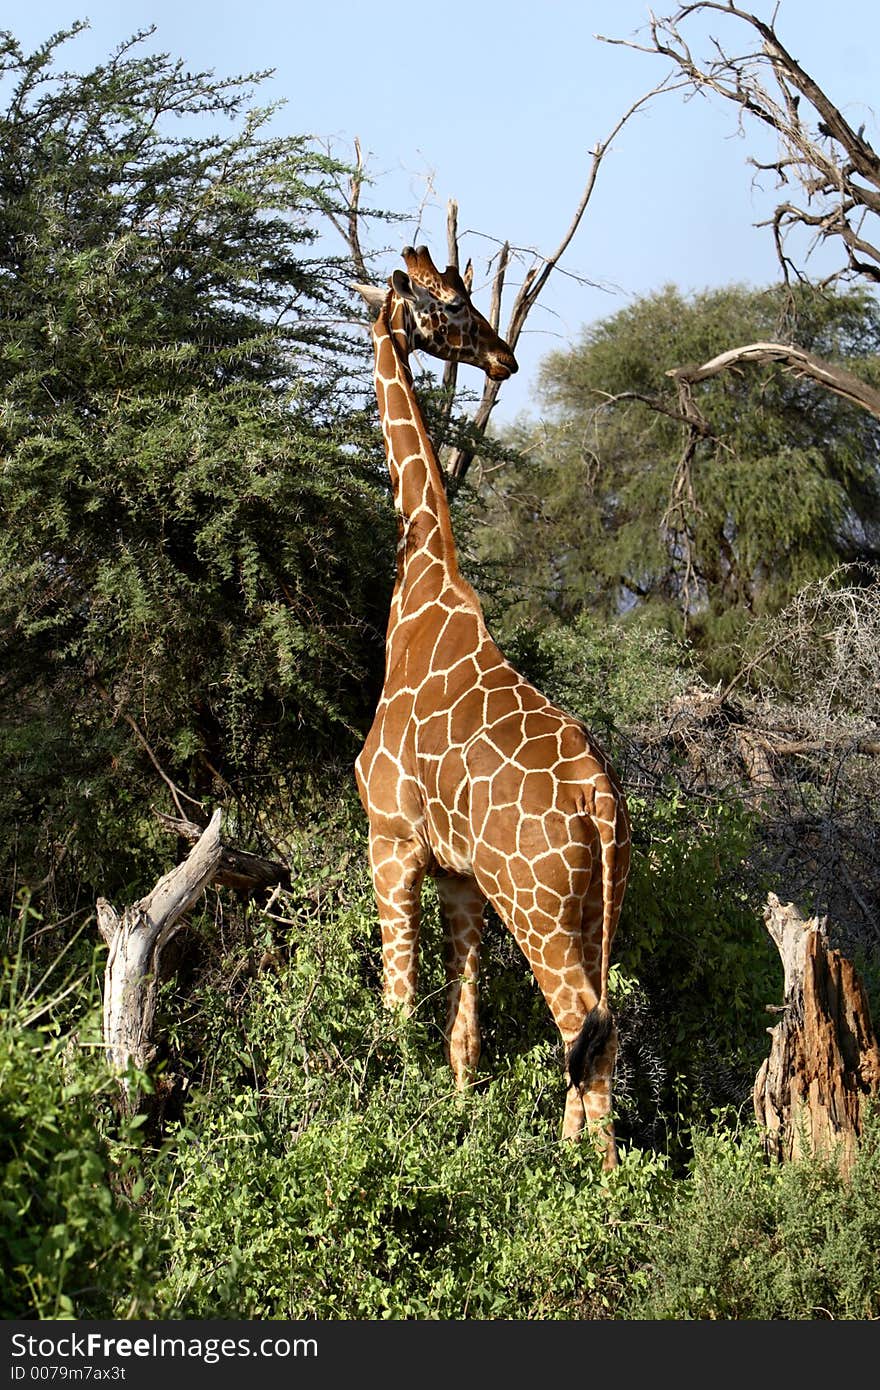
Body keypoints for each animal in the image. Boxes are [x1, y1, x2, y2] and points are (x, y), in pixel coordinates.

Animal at [353, 244, 628, 1167]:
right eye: (445, 304)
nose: (504, 356)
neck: (422, 581)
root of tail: (600, 797)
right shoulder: (462, 878)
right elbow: (463, 1036)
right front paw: (455, 1132)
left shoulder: (391, 842)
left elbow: (398, 1012)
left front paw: (392, 1129)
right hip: (594, 901)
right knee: (595, 1025)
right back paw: (567, 1157)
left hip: (537, 905)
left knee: (585, 1025)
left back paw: (603, 1187)